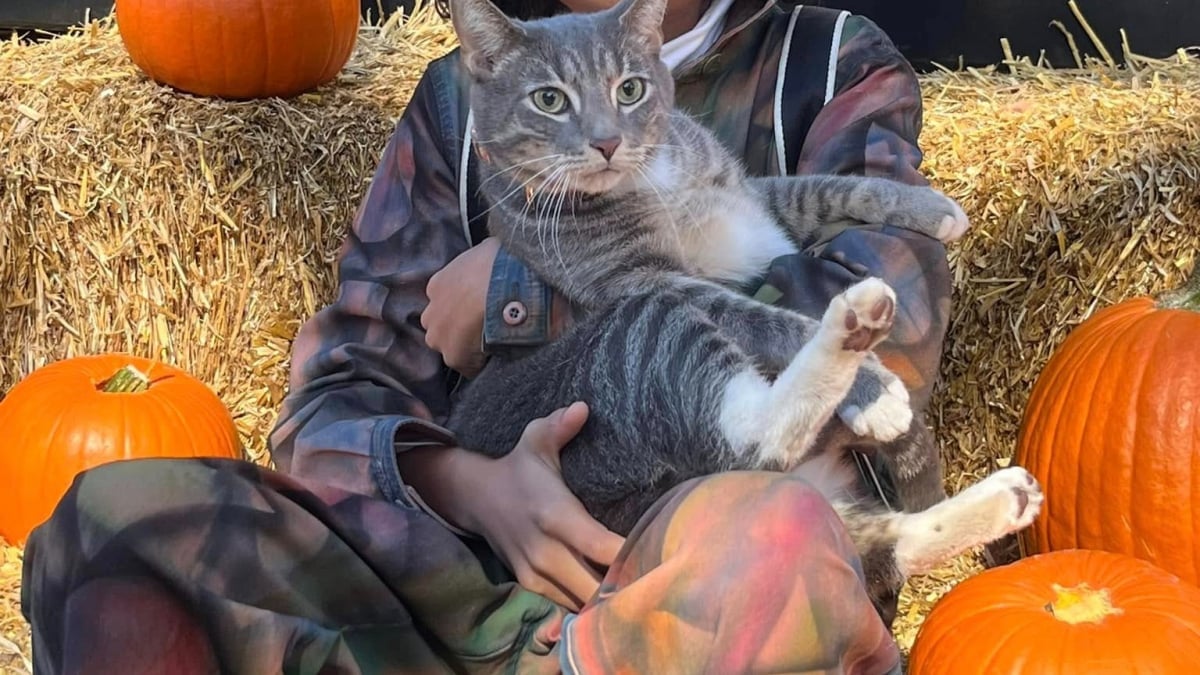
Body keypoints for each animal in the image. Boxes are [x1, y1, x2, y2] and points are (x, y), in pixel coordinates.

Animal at [441, 0, 1041, 610]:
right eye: (549, 99)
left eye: (629, 89)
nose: (607, 142)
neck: (651, 180)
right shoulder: (649, 281)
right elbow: (764, 317)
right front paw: (873, 390)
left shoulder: (756, 199)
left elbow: (829, 187)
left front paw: (932, 207)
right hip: (637, 344)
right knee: (756, 441)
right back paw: (853, 328)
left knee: (880, 545)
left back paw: (1002, 499)